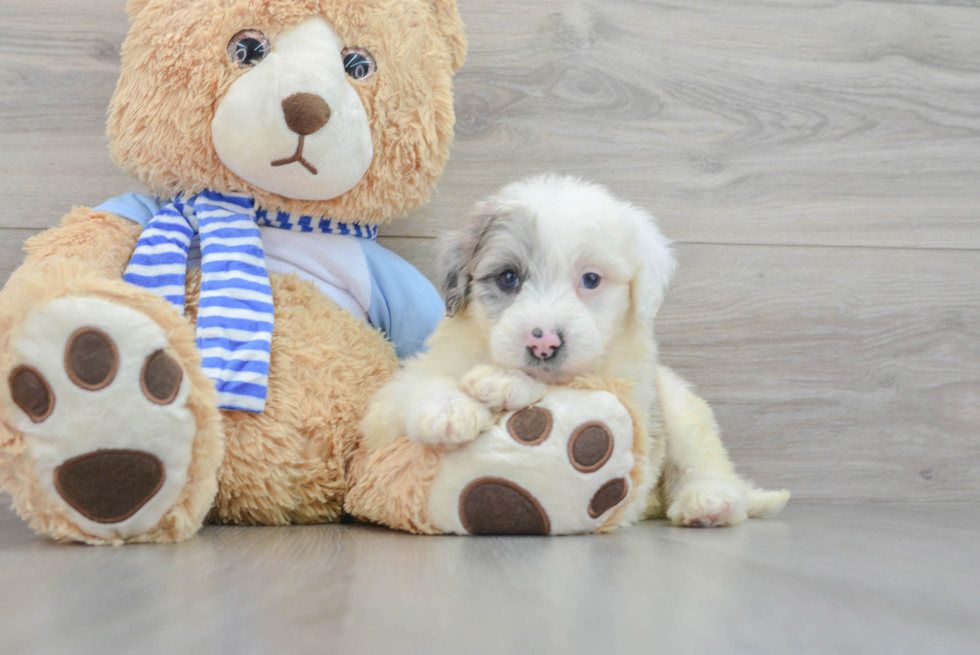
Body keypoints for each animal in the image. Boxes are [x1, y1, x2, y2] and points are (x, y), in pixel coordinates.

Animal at [364, 174, 792, 528]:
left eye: (590, 279)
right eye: (508, 278)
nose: (543, 343)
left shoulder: (630, 394)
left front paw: (503, 382)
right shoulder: (392, 400)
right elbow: (417, 387)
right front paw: (449, 411)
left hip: (681, 409)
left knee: (705, 463)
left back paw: (708, 501)